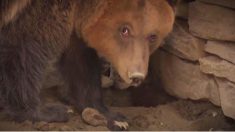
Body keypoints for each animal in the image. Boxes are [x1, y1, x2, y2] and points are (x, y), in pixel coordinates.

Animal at [0, 0, 176, 130]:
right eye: (124, 30)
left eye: (153, 36)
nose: (136, 76)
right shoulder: (36, 10)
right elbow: (23, 48)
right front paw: (49, 111)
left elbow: (80, 61)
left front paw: (114, 117)